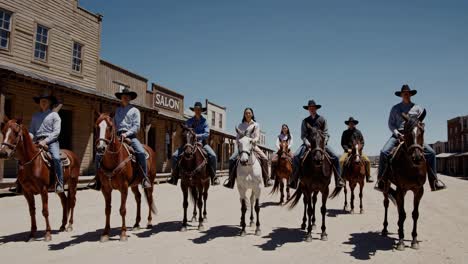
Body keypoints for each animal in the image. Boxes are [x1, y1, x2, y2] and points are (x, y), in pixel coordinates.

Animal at [94, 112, 157, 242]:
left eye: (110, 127)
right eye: (97, 126)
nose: (101, 148)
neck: (113, 160)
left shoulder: (123, 188)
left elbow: (122, 210)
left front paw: (123, 233)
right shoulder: (106, 189)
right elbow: (107, 210)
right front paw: (105, 233)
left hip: (150, 182)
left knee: (149, 198)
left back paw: (149, 222)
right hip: (134, 185)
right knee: (138, 198)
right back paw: (136, 224)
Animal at [380, 110, 428, 251]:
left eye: (422, 130)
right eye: (406, 132)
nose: (417, 156)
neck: (412, 167)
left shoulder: (418, 190)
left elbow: (414, 214)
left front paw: (414, 240)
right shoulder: (401, 188)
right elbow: (402, 214)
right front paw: (401, 241)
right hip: (387, 185)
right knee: (387, 204)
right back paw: (385, 229)